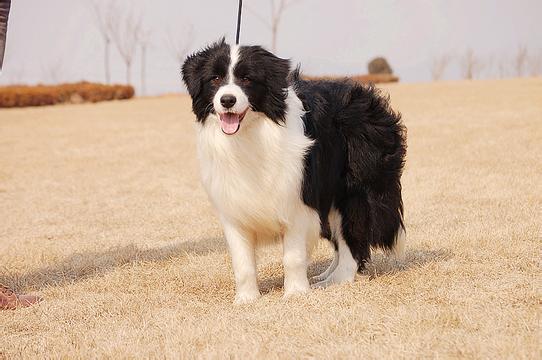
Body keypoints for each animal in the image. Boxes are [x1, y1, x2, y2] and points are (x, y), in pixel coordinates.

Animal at [184, 38, 408, 304]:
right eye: (215, 79)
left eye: (247, 79)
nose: (227, 100)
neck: (251, 133)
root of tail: (370, 99)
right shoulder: (234, 209)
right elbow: (242, 262)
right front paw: (246, 299)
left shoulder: (297, 199)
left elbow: (293, 256)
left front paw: (295, 293)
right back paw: (325, 275)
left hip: (354, 189)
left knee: (353, 237)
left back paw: (337, 279)